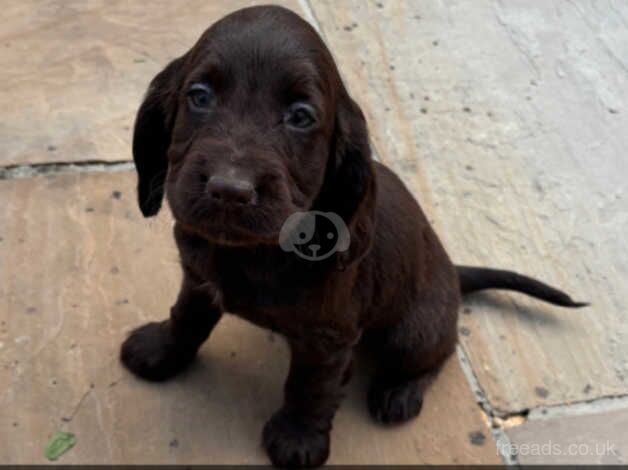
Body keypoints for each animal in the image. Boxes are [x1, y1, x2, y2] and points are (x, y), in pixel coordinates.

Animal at [120, 6, 588, 466]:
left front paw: (298, 438)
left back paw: (400, 391)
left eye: (301, 117)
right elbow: (186, 317)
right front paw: (161, 350)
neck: (252, 253)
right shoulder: (199, 279)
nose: (230, 190)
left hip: (411, 333)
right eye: (199, 95)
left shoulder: (328, 337)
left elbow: (311, 385)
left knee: (439, 350)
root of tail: (454, 273)